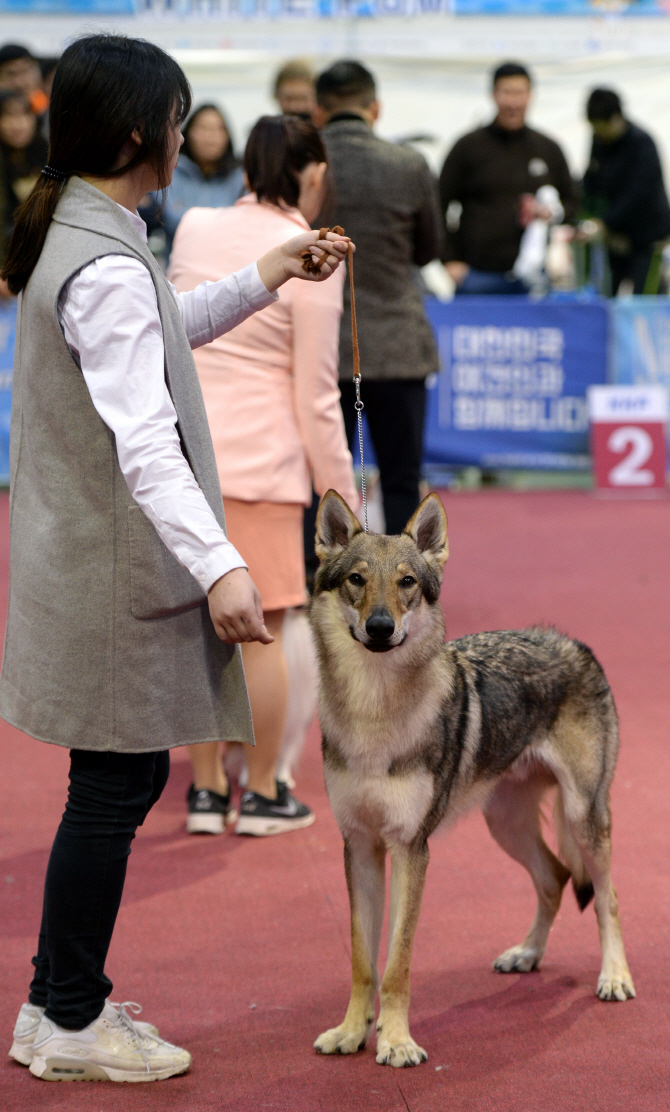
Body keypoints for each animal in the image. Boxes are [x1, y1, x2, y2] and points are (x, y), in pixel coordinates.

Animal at [308, 489, 635, 1067]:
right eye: (357, 579)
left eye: (407, 583)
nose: (379, 627)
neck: (374, 714)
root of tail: (571, 641)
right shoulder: (359, 846)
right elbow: (362, 961)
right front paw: (350, 1032)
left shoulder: (411, 849)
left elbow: (397, 964)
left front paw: (396, 1041)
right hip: (504, 824)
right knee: (553, 878)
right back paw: (527, 953)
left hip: (583, 817)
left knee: (606, 896)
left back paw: (614, 976)